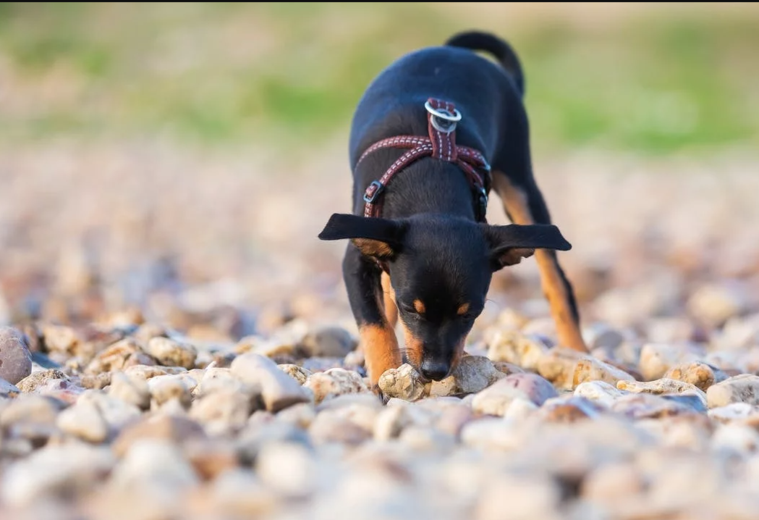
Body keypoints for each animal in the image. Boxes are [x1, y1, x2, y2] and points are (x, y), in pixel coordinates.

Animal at [320, 30, 588, 388]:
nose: (434, 371)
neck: (429, 183)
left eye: (470, 314)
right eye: (411, 309)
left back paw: (577, 353)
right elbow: (376, 326)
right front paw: (384, 375)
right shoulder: (357, 259)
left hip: (521, 185)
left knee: (556, 281)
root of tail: (454, 51)